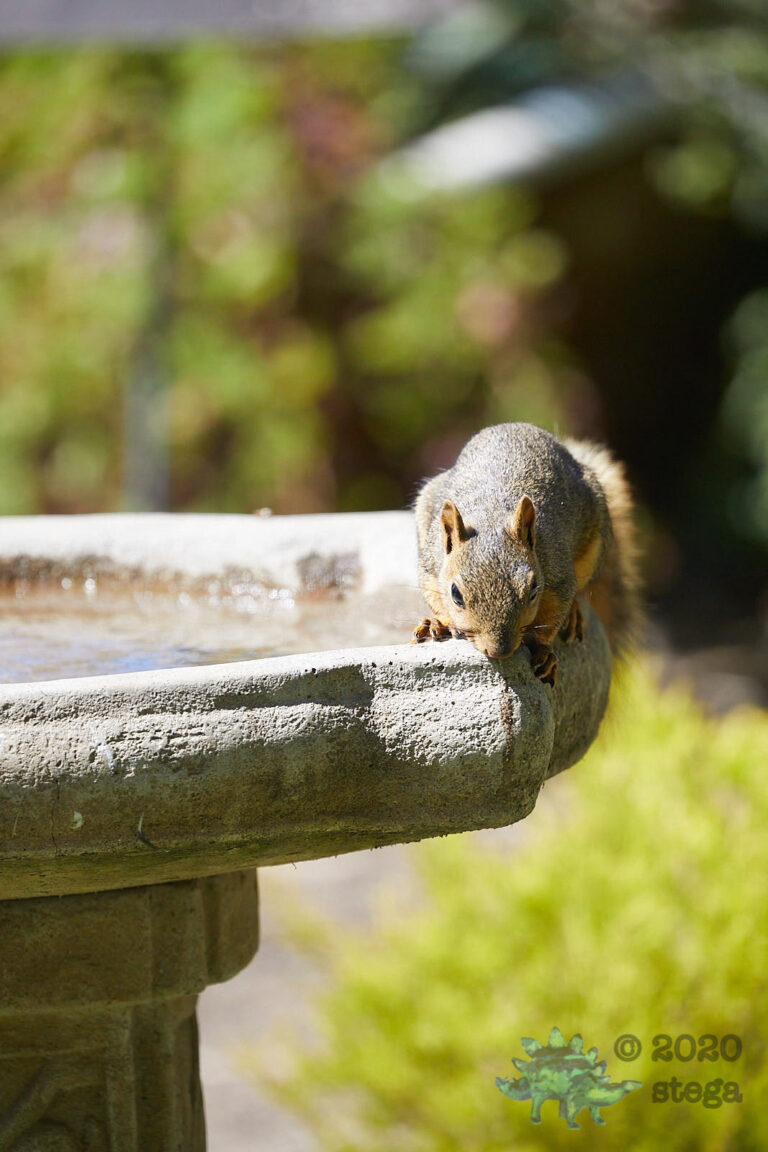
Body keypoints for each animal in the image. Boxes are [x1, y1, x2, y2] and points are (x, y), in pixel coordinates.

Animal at [412, 423, 641, 686]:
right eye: (455, 595)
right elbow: (433, 593)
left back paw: (574, 614)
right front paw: (439, 623)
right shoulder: (431, 564)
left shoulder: (557, 571)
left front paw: (543, 650)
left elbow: (555, 609)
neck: (490, 515)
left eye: (533, 590)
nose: (499, 651)